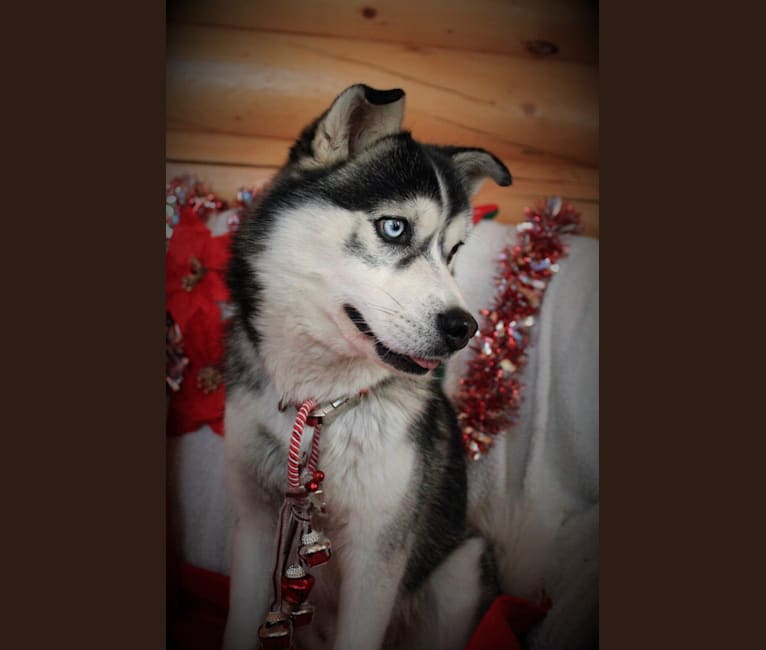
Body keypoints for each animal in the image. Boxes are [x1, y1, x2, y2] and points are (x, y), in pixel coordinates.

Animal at [222, 86, 512, 648]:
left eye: (454, 251)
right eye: (394, 227)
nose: (463, 327)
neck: (316, 403)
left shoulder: (378, 555)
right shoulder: (254, 525)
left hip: (462, 566)